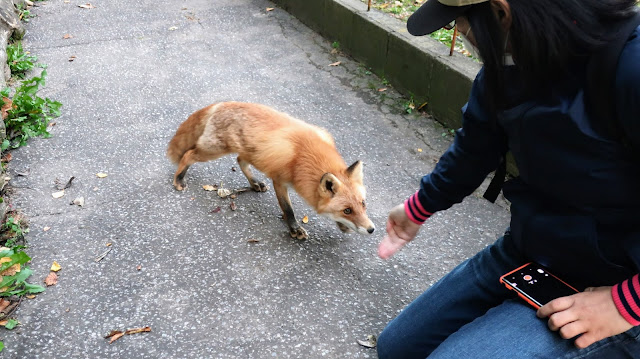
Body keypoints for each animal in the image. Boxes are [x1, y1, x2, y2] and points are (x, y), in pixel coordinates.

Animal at [166, 102, 376, 240]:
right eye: (347, 210)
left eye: (363, 204)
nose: (371, 229)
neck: (305, 156)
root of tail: (222, 103)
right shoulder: (280, 181)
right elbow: (288, 209)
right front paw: (295, 229)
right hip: (213, 150)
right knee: (188, 155)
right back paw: (179, 179)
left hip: (251, 154)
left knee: (240, 161)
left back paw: (254, 183)